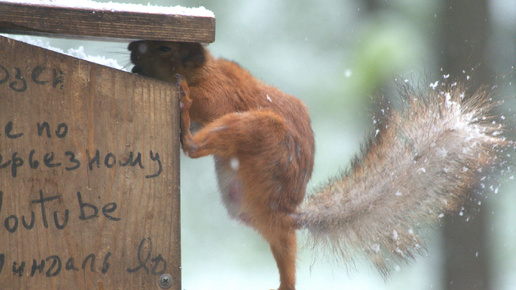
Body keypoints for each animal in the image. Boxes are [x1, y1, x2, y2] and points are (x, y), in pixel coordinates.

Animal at [128, 40, 508, 290]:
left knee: (194, 146)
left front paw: (182, 94)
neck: (205, 71)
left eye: (164, 48)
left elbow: (207, 101)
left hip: (260, 130)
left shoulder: (220, 94)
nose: (131, 47)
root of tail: (282, 212)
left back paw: (183, 115)